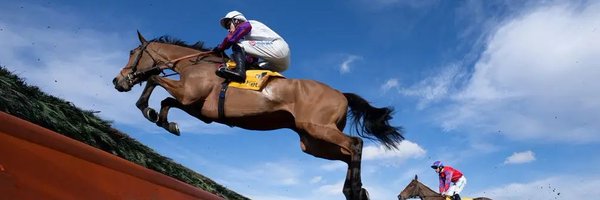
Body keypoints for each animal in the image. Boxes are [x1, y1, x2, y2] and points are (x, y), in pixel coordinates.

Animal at [112, 31, 404, 200]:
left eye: (132, 53)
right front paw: (164, 121)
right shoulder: (198, 108)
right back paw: (354, 191)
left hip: (318, 128)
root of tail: (341, 93)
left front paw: (147, 108)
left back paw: (354, 189)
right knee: (346, 154)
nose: (118, 81)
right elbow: (165, 98)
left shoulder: (189, 95)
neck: (194, 65)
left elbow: (155, 80)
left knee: (356, 144)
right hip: (311, 142)